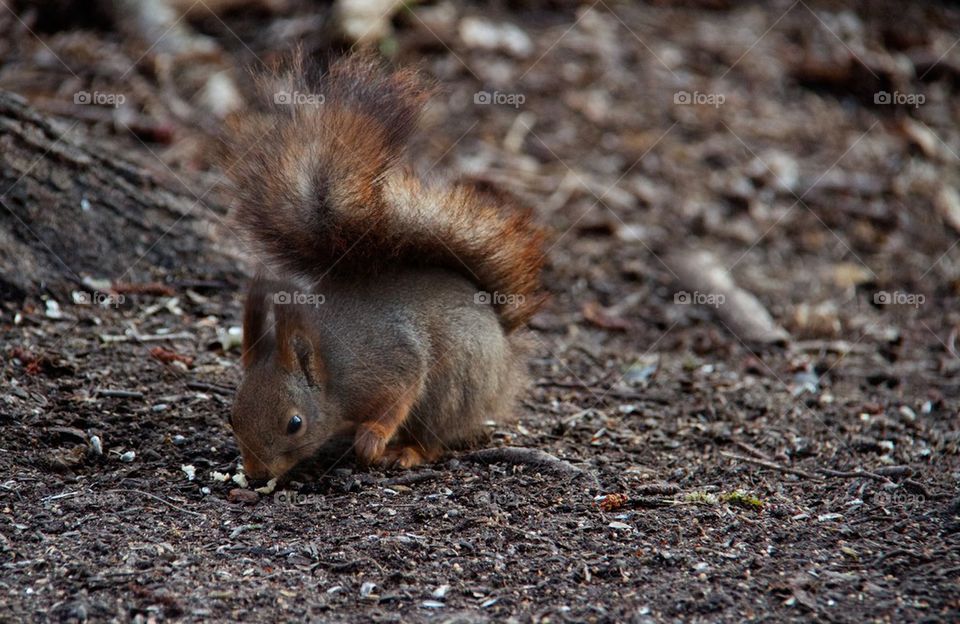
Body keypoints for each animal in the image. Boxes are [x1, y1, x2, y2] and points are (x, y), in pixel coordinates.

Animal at [218, 53, 546, 479]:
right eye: (232, 415)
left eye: (294, 423)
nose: (257, 473)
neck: (331, 374)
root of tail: (504, 355)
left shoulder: (391, 365)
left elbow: (399, 396)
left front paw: (372, 439)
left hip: (454, 387)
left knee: (433, 437)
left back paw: (406, 451)